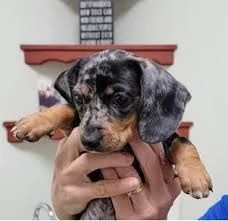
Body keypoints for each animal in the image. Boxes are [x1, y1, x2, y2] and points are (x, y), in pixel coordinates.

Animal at [12, 49, 212, 219]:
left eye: (120, 99)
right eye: (78, 98)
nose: (88, 141)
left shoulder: (165, 139)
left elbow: (183, 142)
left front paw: (196, 177)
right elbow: (66, 109)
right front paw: (34, 121)